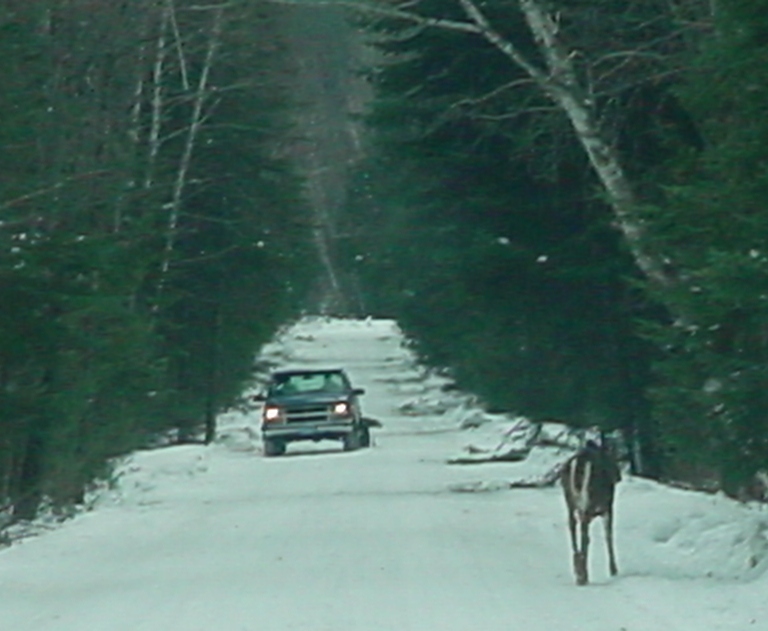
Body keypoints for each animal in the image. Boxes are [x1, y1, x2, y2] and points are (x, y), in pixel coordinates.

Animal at [560, 436, 620, 584]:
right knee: (584, 531)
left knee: (572, 526)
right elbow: (608, 535)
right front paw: (613, 569)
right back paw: (583, 574)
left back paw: (578, 569)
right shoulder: (608, 506)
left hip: (569, 500)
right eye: (612, 457)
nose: (619, 476)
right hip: (588, 499)